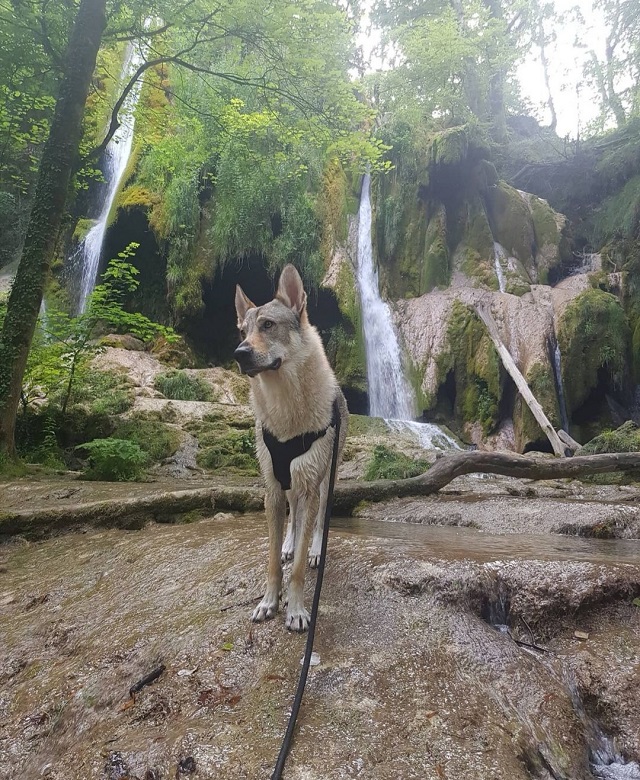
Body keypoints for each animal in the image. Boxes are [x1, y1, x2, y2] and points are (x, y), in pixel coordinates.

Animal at [235, 266, 348, 632]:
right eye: (242, 331)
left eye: (268, 325)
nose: (239, 353)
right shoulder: (272, 487)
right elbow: (273, 561)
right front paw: (269, 602)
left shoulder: (311, 485)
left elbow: (297, 569)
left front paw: (297, 610)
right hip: (289, 485)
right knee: (294, 520)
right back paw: (289, 544)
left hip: (324, 482)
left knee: (315, 523)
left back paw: (313, 551)